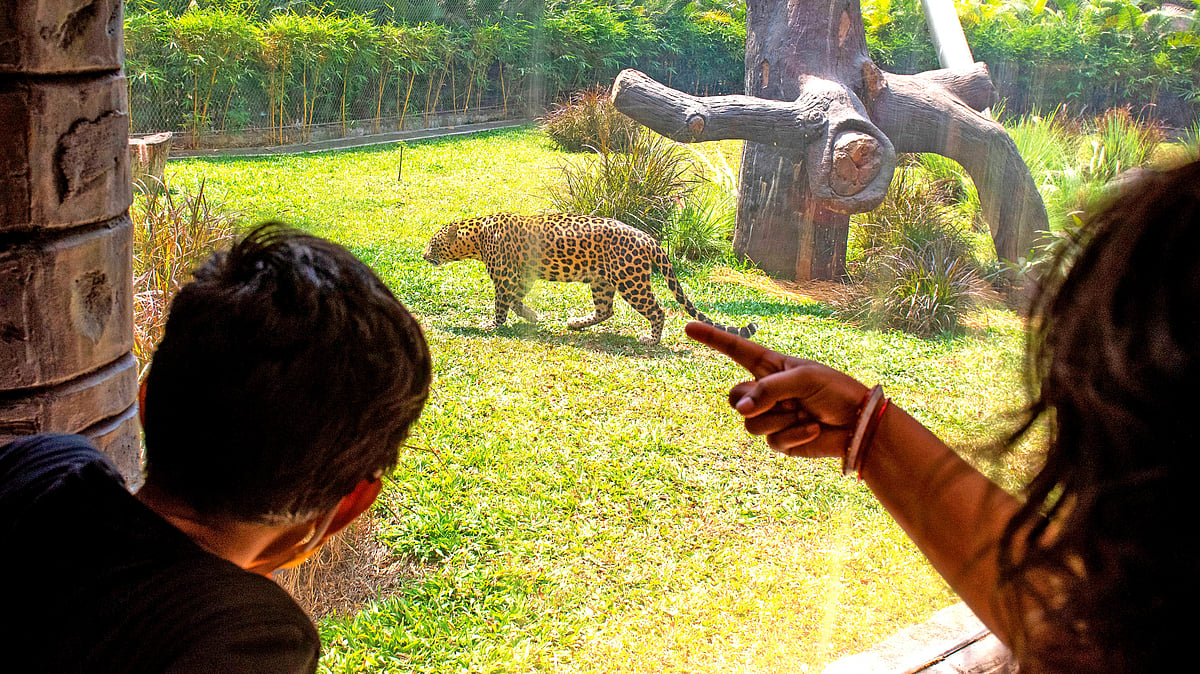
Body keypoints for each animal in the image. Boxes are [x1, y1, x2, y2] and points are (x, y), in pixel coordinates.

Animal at [423, 212, 757, 345]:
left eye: (433, 243)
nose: (424, 255)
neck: (477, 237)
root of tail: (649, 239)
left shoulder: (505, 277)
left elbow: (502, 304)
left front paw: (491, 325)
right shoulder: (520, 277)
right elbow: (517, 301)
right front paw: (533, 316)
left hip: (631, 281)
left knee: (657, 309)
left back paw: (651, 338)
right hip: (601, 281)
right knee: (605, 310)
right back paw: (576, 324)